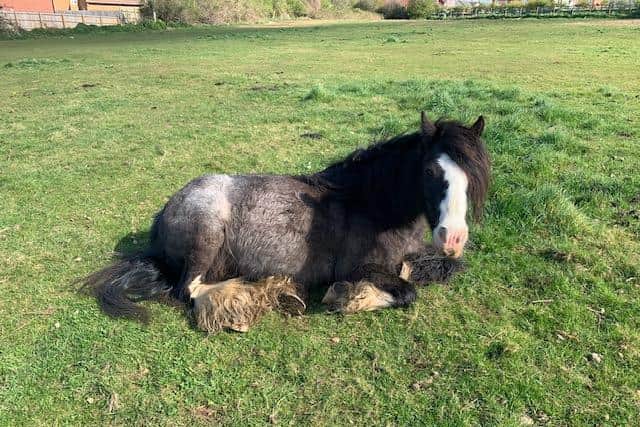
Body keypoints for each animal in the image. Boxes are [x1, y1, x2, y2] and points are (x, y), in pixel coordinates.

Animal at [83, 112, 490, 327]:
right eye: (429, 171)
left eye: (473, 175)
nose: (453, 238)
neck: (371, 203)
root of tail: (166, 210)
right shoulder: (361, 267)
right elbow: (407, 291)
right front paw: (349, 297)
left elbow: (412, 272)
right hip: (206, 236)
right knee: (189, 289)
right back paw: (262, 294)